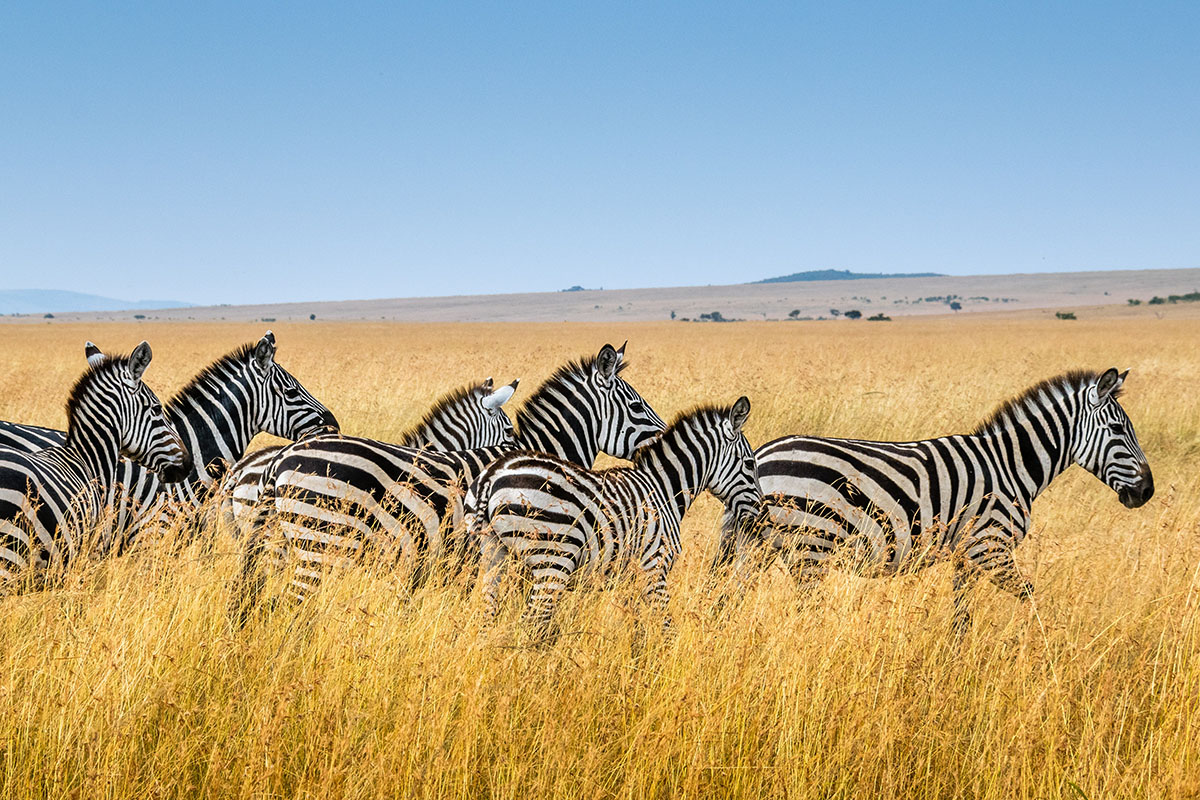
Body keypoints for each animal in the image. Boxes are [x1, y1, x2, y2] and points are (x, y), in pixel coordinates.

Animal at [470, 397, 759, 643]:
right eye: (749, 463)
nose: (759, 514)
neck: (664, 489)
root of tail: (493, 476)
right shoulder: (654, 567)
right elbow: (666, 626)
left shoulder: (632, 577)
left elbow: (638, 628)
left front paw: (637, 662)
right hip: (552, 560)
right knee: (533, 621)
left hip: (494, 554)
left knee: (487, 616)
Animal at [713, 368, 1154, 632]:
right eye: (1119, 429)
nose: (1146, 492)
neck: (1011, 465)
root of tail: (762, 455)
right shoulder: (989, 547)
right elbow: (1030, 595)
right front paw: (1045, 647)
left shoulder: (966, 556)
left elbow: (962, 616)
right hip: (810, 548)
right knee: (803, 613)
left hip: (758, 548)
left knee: (727, 602)